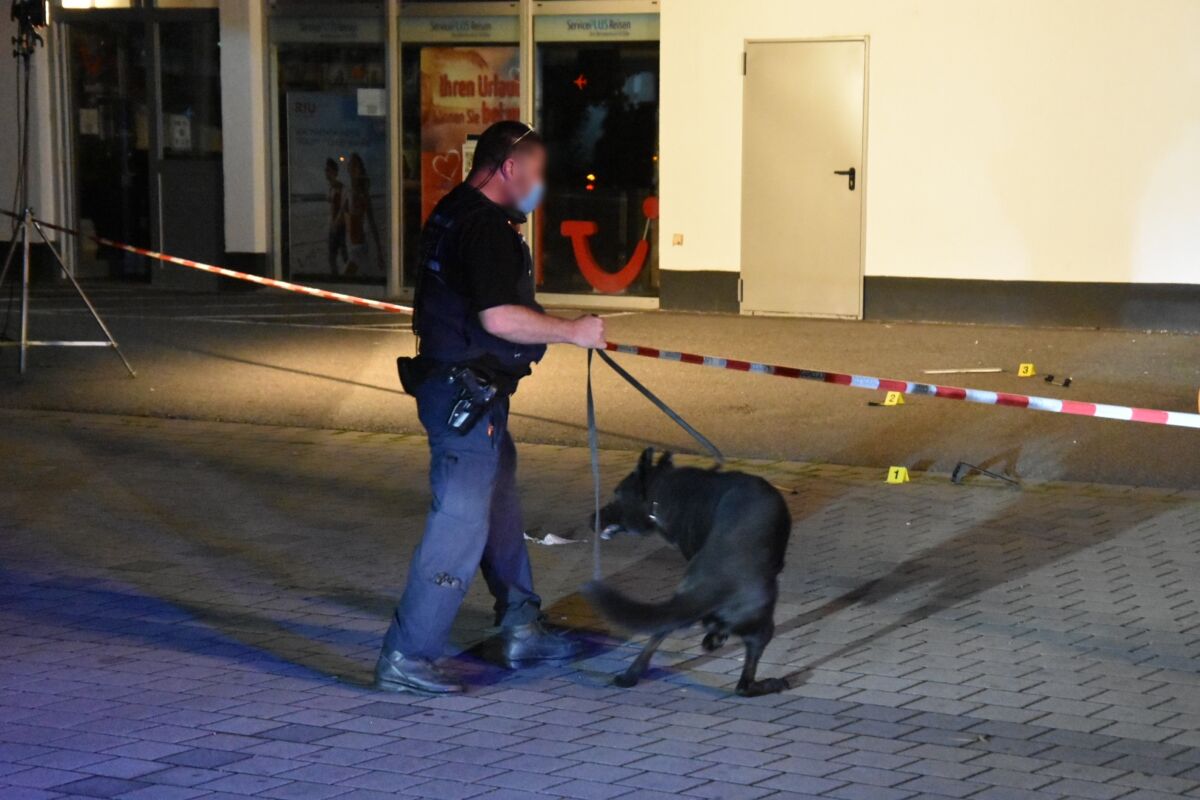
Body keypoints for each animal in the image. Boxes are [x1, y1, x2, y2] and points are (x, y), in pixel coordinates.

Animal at [583, 448, 792, 696]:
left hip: (678, 604)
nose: (591, 518)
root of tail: (713, 582)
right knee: (744, 686)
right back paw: (773, 683)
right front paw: (716, 637)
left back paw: (630, 675)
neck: (663, 490)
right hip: (762, 628)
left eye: (616, 495)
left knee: (661, 630)